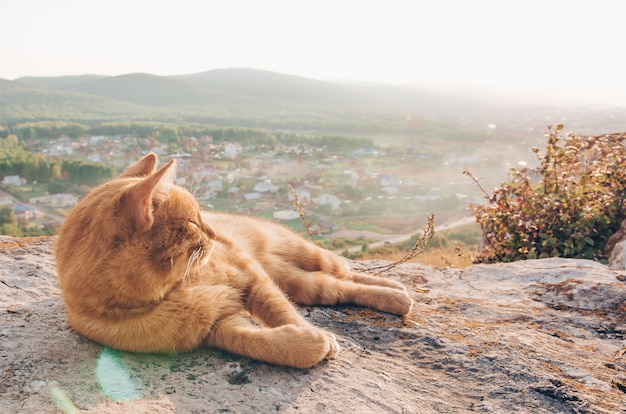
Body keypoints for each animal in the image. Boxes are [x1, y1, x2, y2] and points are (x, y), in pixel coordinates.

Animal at [56, 153, 412, 368]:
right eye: (193, 222)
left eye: (201, 215)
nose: (215, 234)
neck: (177, 290)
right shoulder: (219, 325)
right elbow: (260, 343)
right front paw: (306, 345)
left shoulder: (250, 279)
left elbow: (282, 313)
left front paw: (314, 335)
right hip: (299, 283)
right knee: (336, 286)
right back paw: (397, 297)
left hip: (303, 256)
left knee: (345, 271)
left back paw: (397, 292)